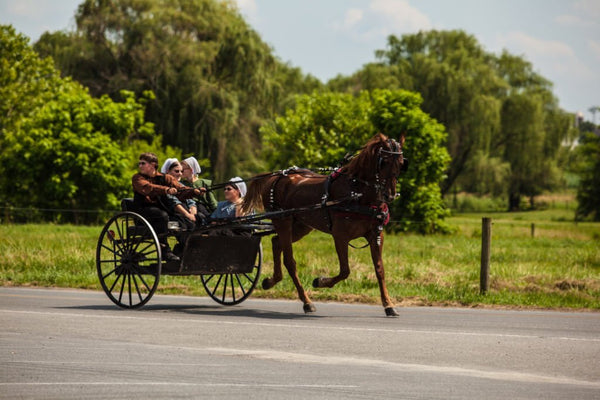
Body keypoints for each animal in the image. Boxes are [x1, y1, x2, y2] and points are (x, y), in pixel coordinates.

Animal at [240, 133, 408, 318]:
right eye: (383, 161)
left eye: (401, 163)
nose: (389, 195)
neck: (357, 193)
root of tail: (276, 176)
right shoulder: (340, 236)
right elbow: (345, 270)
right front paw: (320, 281)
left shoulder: (376, 234)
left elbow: (380, 270)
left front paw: (388, 305)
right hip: (283, 222)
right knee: (290, 261)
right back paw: (306, 302)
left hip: (301, 226)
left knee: (276, 242)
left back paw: (272, 281)